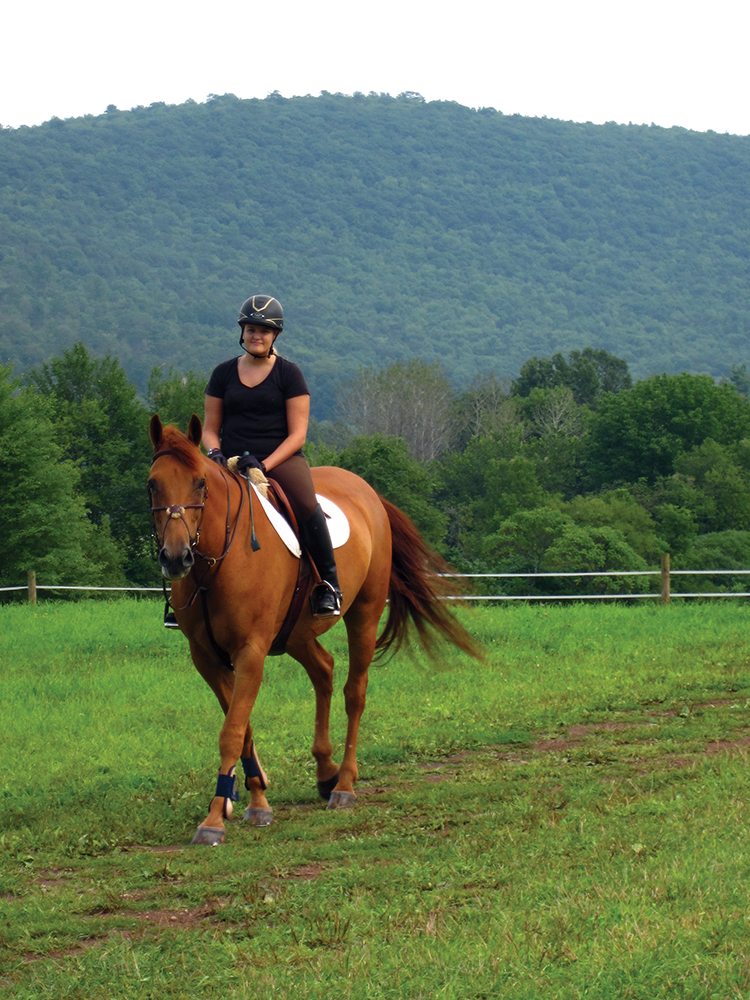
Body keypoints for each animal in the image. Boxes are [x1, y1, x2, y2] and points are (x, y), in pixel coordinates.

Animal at [148, 414, 480, 845]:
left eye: (200, 483)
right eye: (152, 484)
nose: (175, 557)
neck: (217, 562)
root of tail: (367, 491)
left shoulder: (251, 651)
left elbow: (232, 731)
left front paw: (215, 819)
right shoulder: (207, 658)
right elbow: (243, 728)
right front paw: (255, 799)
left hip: (364, 616)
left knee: (355, 693)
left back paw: (345, 786)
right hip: (296, 633)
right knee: (324, 670)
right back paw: (326, 773)